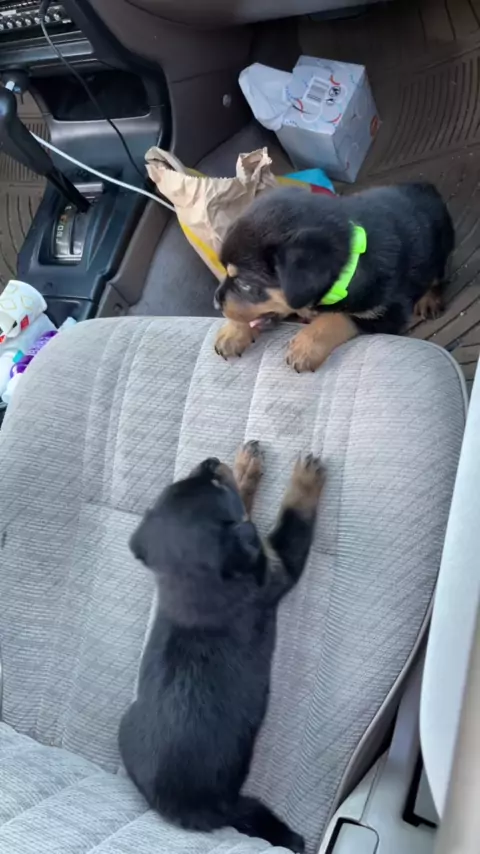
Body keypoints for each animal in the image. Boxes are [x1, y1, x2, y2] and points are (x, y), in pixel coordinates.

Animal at [119, 441, 324, 852]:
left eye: (205, 477)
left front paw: (244, 467)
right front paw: (304, 479)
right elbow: (292, 518)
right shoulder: (278, 564)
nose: (211, 461)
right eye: (215, 484)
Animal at [213, 183, 454, 372]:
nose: (215, 303)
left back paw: (429, 300)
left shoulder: (387, 312)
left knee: (438, 277)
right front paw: (232, 332)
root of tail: (427, 187)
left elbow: (337, 317)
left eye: (245, 285)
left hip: (440, 251)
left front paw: (305, 346)